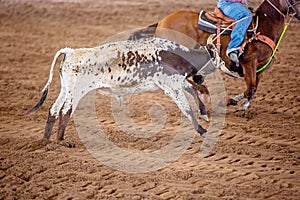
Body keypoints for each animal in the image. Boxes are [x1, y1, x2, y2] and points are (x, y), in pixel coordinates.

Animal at [155, 0, 300, 111]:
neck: (262, 27)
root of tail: (161, 22)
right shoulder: (248, 62)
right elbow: (251, 88)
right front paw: (228, 101)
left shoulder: (261, 68)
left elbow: (252, 90)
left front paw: (240, 104)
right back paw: (205, 94)